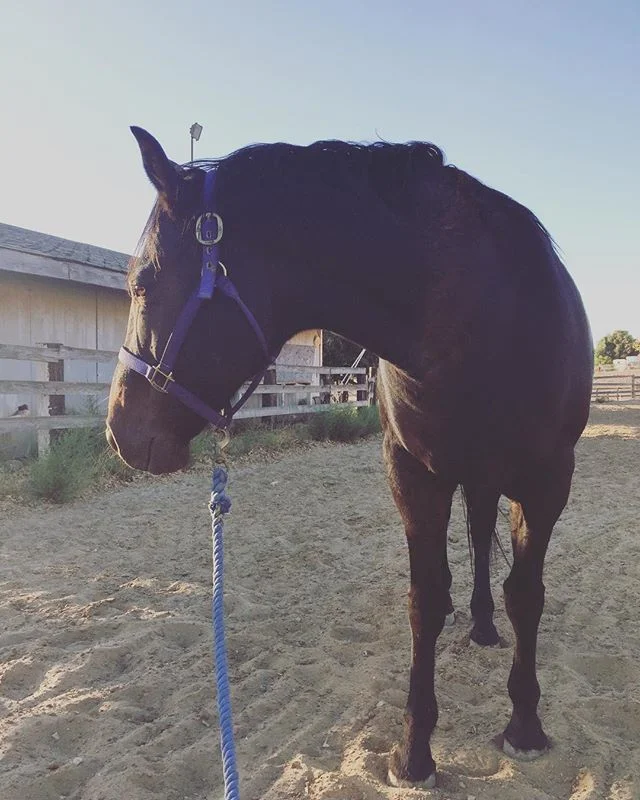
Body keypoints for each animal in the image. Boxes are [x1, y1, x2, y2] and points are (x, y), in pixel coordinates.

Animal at [106, 127, 593, 788]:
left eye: (143, 283)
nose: (119, 431)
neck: (484, 316)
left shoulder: (547, 483)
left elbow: (527, 594)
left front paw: (524, 726)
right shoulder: (413, 475)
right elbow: (426, 599)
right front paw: (414, 752)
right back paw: (479, 622)